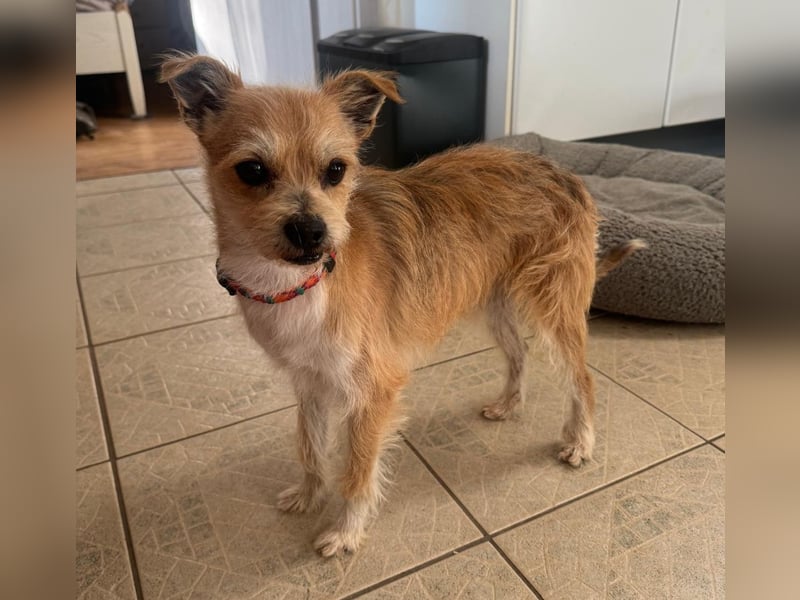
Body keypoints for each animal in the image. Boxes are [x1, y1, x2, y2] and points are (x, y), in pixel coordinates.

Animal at [160, 54, 643, 557]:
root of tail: (565, 173)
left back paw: (580, 441)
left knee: (582, 379)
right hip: (494, 304)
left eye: (336, 169)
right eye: (252, 170)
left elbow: (357, 470)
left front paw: (345, 531)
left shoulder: (374, 391)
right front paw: (310, 494)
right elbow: (310, 446)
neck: (297, 283)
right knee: (519, 353)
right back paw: (509, 404)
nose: (311, 232)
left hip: (554, 308)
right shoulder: (310, 383)